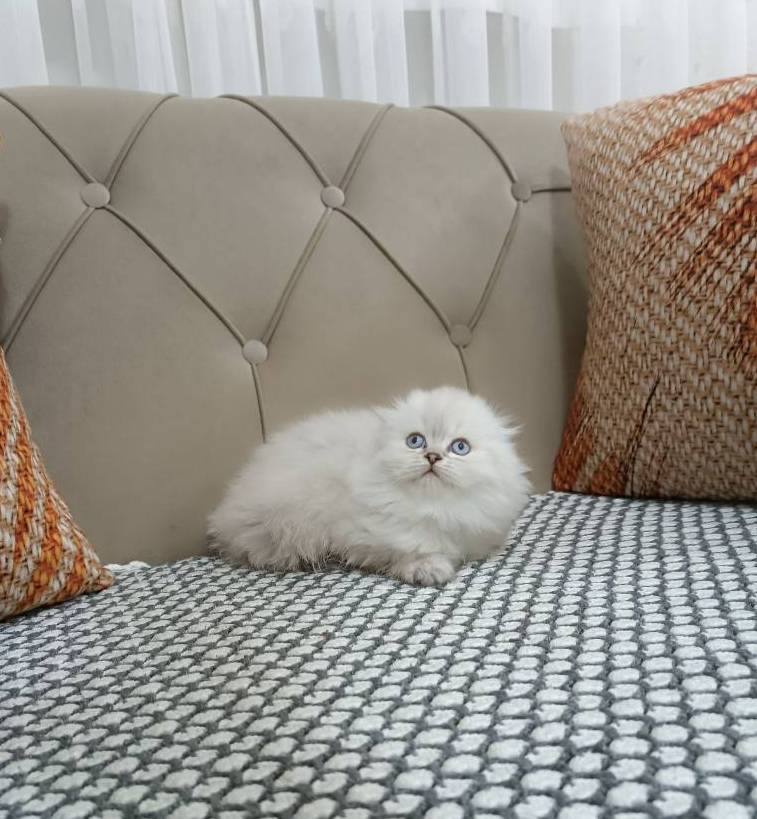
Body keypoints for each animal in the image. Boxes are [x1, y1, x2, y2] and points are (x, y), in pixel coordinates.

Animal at [208, 386, 531, 586]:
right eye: (416, 441)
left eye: (460, 447)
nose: (432, 456)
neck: (432, 508)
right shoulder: (362, 535)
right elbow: (406, 548)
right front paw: (427, 569)